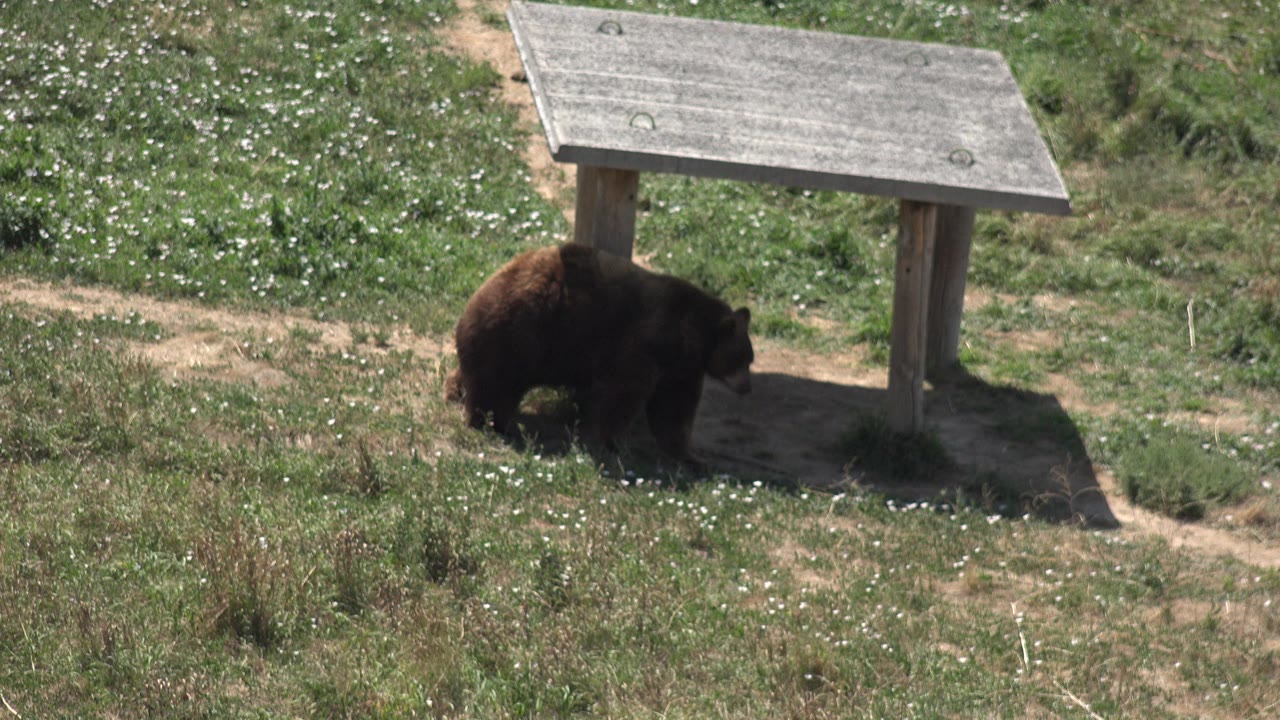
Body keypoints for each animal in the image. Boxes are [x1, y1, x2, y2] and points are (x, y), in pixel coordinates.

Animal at [446, 243, 753, 464]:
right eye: (742, 358)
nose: (746, 387)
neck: (690, 335)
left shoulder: (680, 368)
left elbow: (673, 408)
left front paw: (689, 456)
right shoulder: (644, 343)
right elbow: (626, 394)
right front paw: (613, 442)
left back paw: (458, 390)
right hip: (521, 334)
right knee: (498, 385)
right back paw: (492, 422)